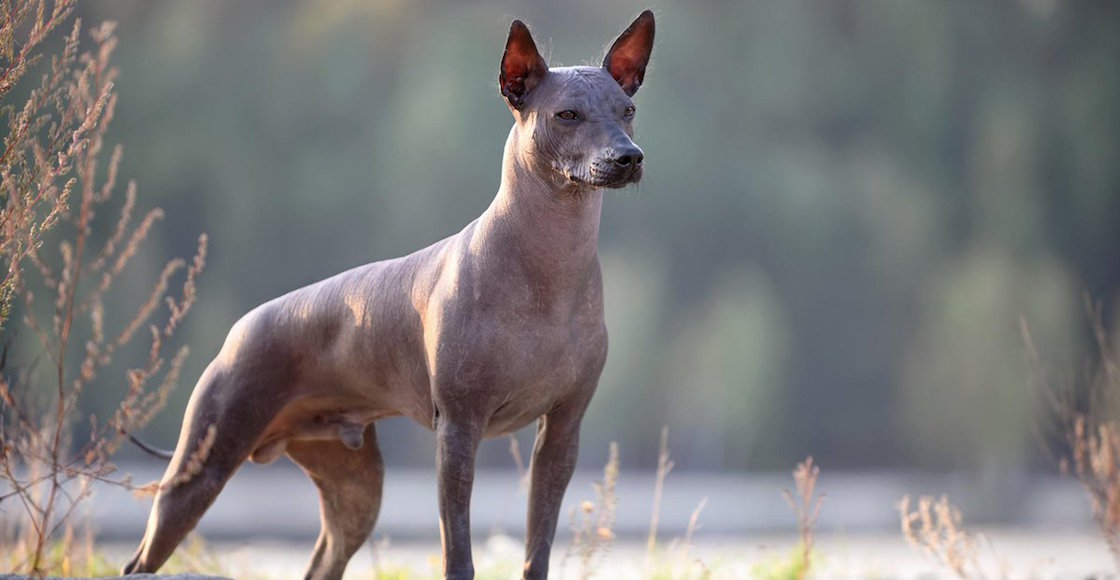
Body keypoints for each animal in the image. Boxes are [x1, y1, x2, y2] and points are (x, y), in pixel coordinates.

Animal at [120, 10, 654, 580]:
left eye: (628, 111)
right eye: (567, 114)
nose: (629, 157)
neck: (549, 266)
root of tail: (239, 329)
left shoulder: (562, 433)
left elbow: (538, 552)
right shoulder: (458, 432)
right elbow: (457, 553)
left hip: (354, 488)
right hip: (203, 467)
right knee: (140, 562)